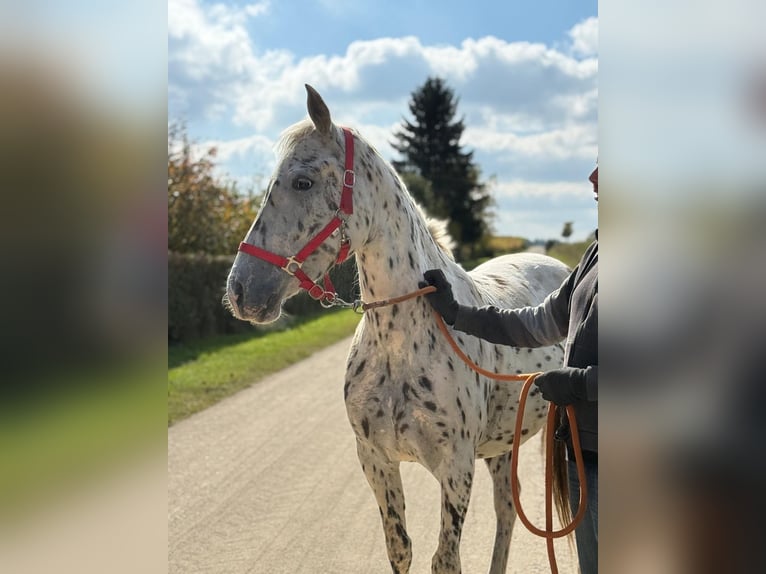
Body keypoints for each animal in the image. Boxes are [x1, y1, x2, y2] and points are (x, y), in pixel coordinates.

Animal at [224, 85, 570, 574]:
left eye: (302, 182)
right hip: (502, 449)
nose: (240, 290)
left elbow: (445, 558)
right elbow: (400, 547)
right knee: (506, 510)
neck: (400, 344)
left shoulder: (455, 468)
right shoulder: (376, 461)